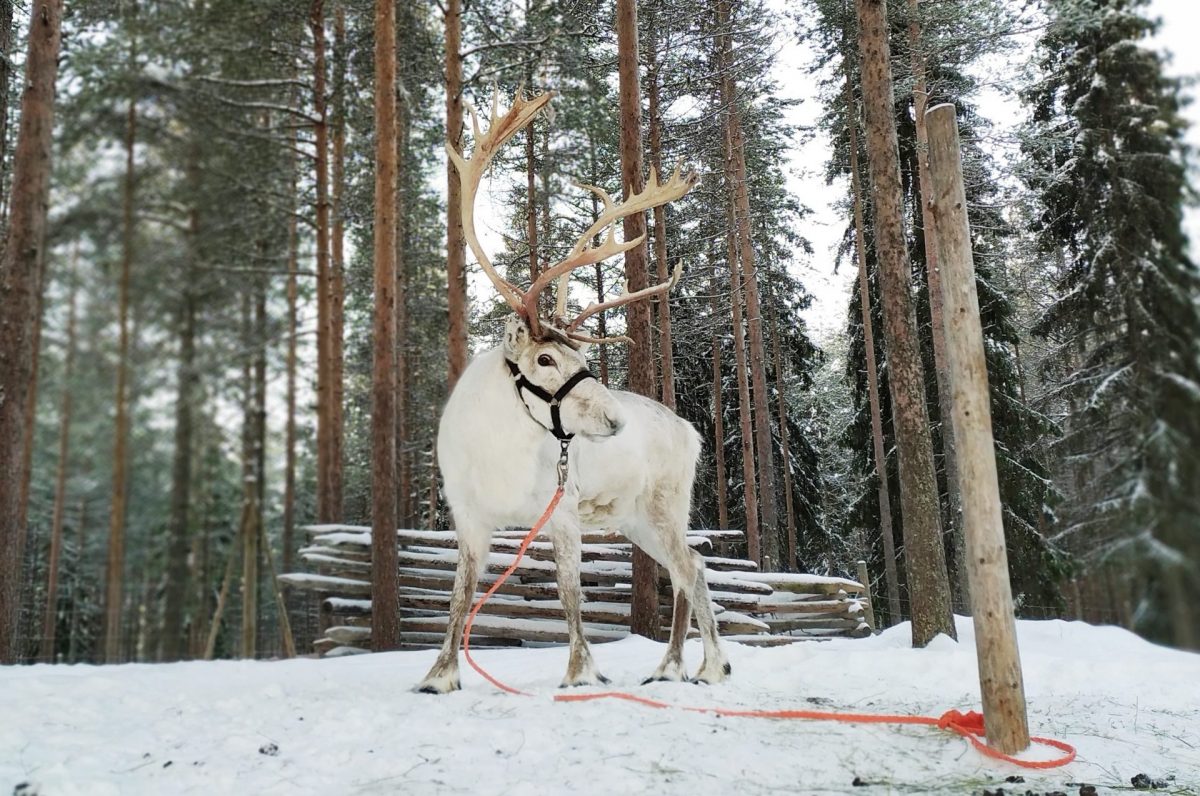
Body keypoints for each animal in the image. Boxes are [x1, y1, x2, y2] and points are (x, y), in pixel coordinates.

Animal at [415, 90, 729, 694]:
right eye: (545, 358)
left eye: (584, 359)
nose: (615, 419)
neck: (499, 458)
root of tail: (691, 430)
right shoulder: (469, 516)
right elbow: (459, 597)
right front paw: (439, 675)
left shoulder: (561, 509)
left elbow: (570, 594)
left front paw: (582, 672)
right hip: (634, 518)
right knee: (686, 569)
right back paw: (670, 665)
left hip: (665, 504)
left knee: (692, 568)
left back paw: (711, 666)